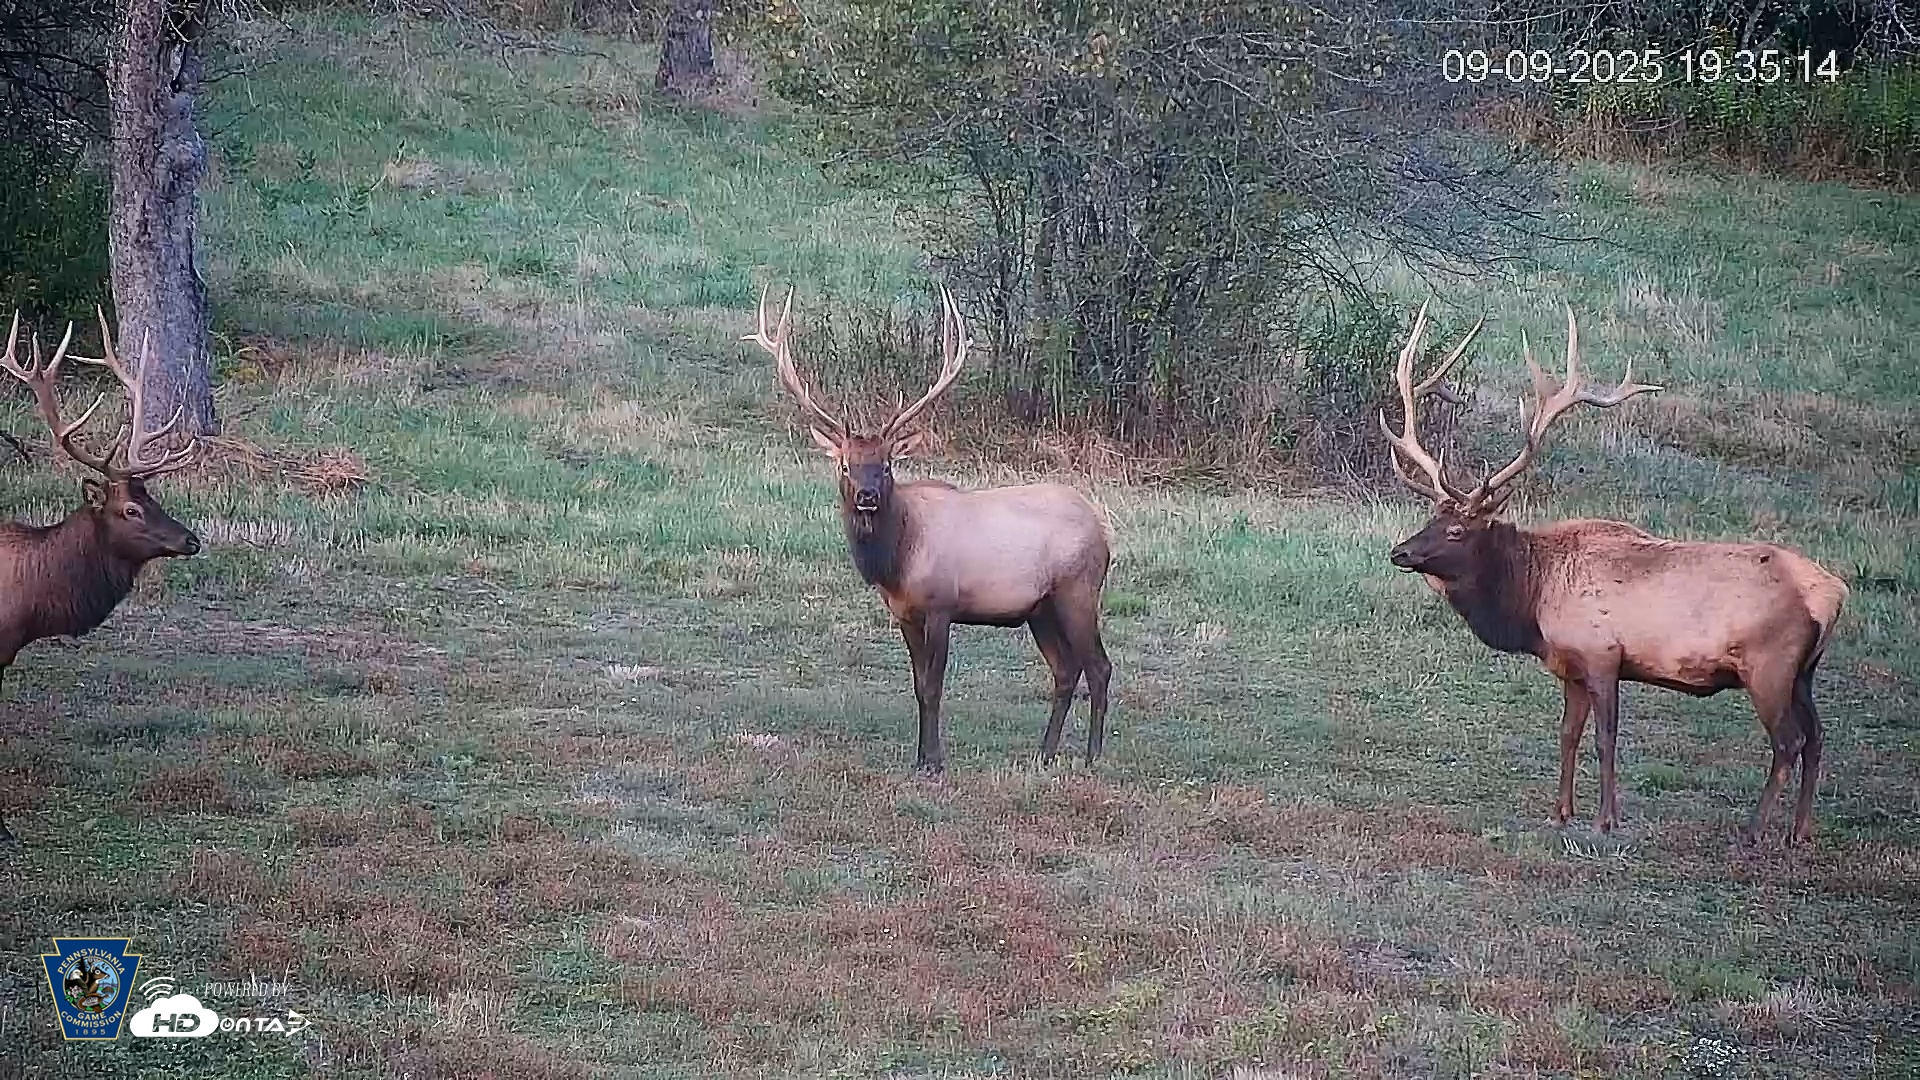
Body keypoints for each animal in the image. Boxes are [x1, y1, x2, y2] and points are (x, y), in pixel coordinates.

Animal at [742, 285, 1114, 773]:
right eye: (845, 464)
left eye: (886, 464)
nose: (866, 496)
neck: (898, 559)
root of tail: (1104, 535)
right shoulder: (904, 612)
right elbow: (919, 685)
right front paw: (920, 757)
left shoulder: (941, 604)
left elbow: (935, 685)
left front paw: (935, 761)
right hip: (1040, 608)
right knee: (1066, 670)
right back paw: (1044, 753)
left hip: (1077, 590)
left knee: (1099, 666)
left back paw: (1091, 756)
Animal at [1380, 302, 1848, 845]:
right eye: (1430, 518)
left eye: (1456, 530)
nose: (1399, 551)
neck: (1532, 600)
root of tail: (1832, 594)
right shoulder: (1571, 664)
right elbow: (1567, 733)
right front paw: (1560, 812)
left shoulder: (1603, 655)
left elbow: (1605, 738)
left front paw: (1606, 818)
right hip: (1804, 672)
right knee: (1817, 737)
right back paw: (1801, 830)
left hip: (1768, 665)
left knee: (1789, 741)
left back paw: (1753, 830)